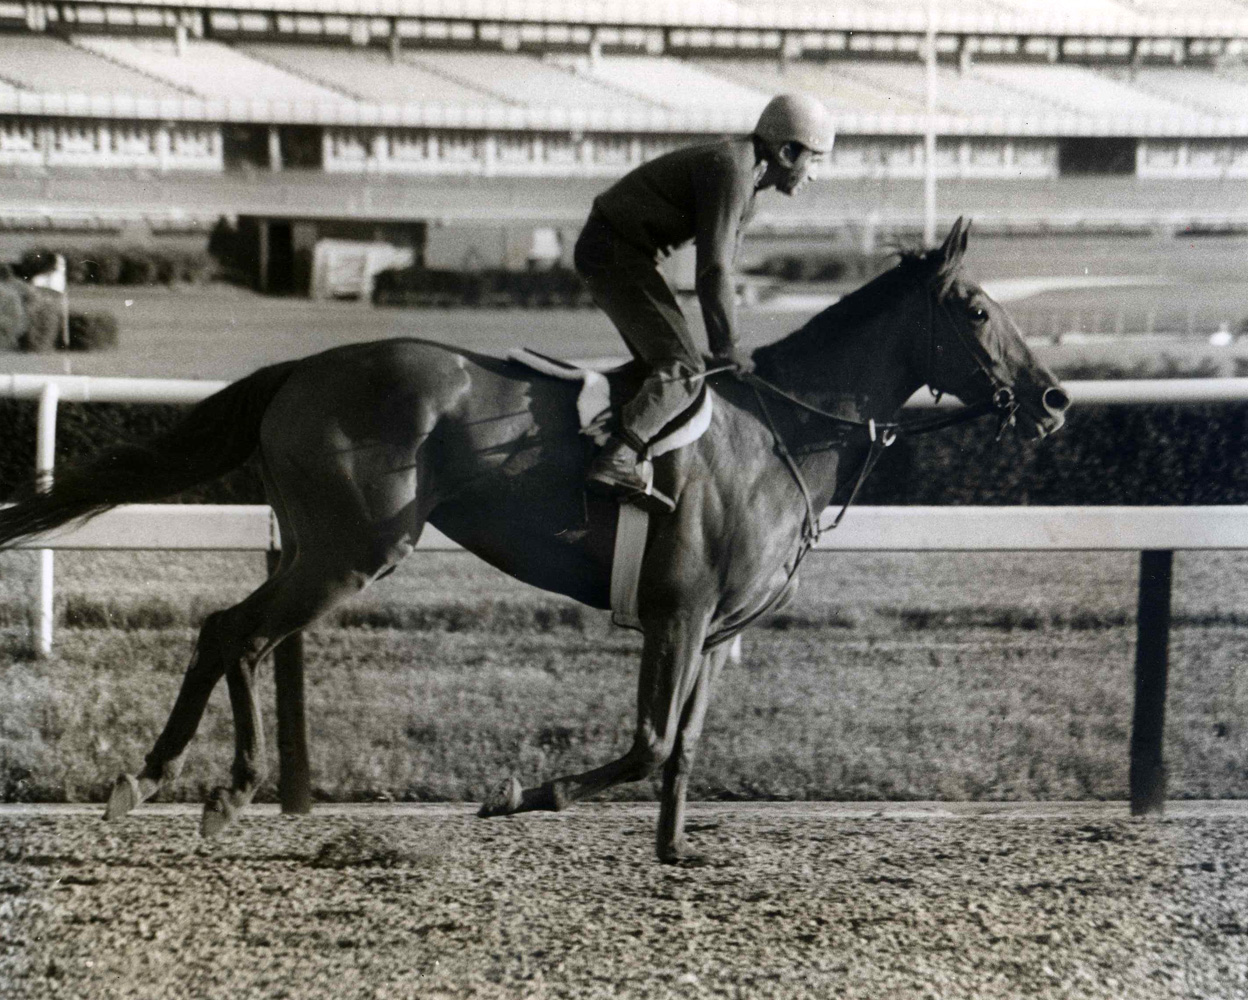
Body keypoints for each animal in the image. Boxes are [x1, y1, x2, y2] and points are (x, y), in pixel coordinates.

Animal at [0, 218, 1073, 858]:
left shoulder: (718, 628)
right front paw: (520, 795)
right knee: (244, 634)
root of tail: (301, 367)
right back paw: (217, 788)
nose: (1056, 401)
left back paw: (153, 779)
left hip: (320, 547)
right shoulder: (677, 613)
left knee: (225, 628)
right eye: (978, 309)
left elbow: (684, 746)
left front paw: (675, 849)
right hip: (351, 551)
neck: (781, 431)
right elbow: (647, 742)